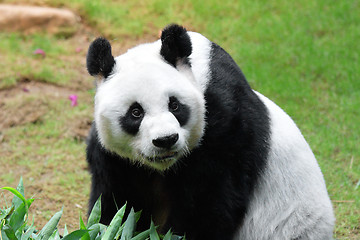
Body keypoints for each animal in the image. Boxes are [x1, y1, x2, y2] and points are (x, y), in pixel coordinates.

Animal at [86, 23, 336, 239]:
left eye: (174, 105)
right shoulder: (116, 159)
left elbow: (208, 204)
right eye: (136, 112)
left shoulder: (226, 129)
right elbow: (115, 203)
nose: (166, 140)